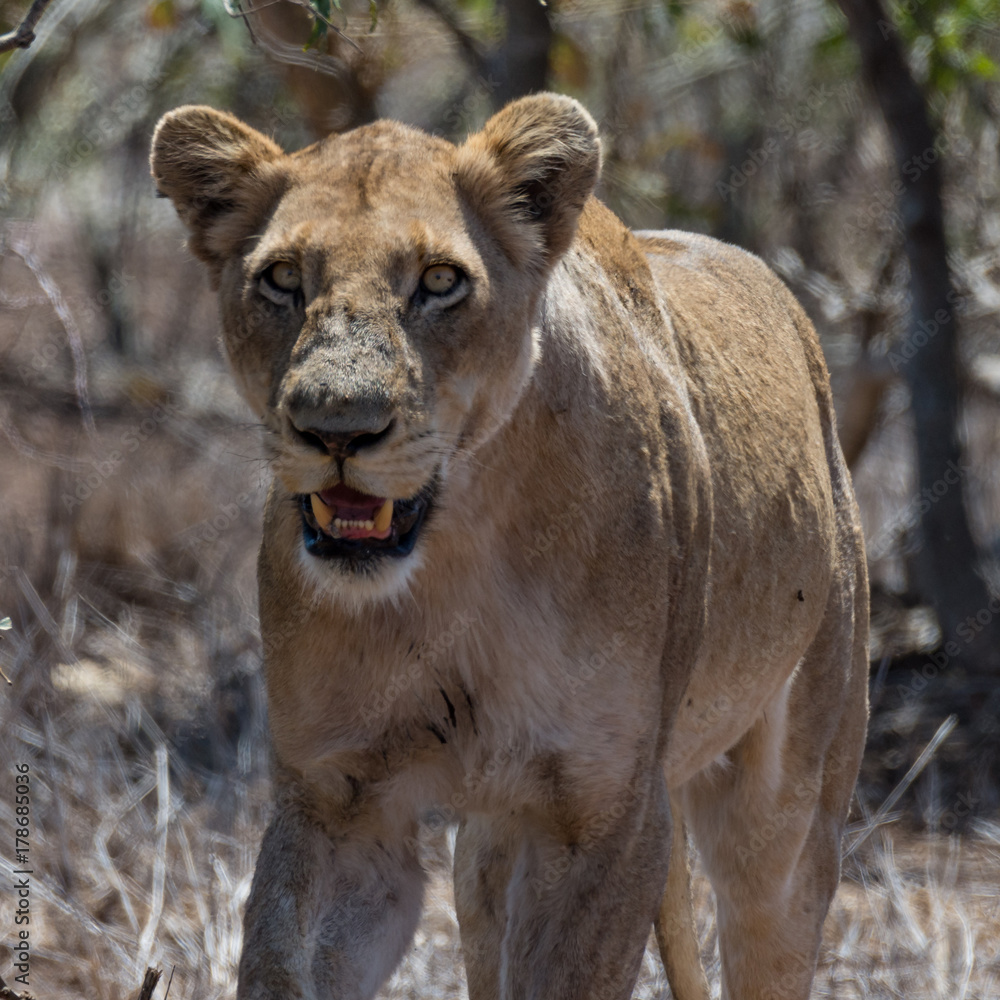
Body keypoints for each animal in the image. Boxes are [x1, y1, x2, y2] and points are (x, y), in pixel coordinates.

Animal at [150, 94, 868, 1000]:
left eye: (439, 281)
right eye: (282, 278)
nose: (336, 429)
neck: (456, 564)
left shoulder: (607, 816)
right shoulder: (335, 799)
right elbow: (282, 960)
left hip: (788, 811)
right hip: (490, 846)